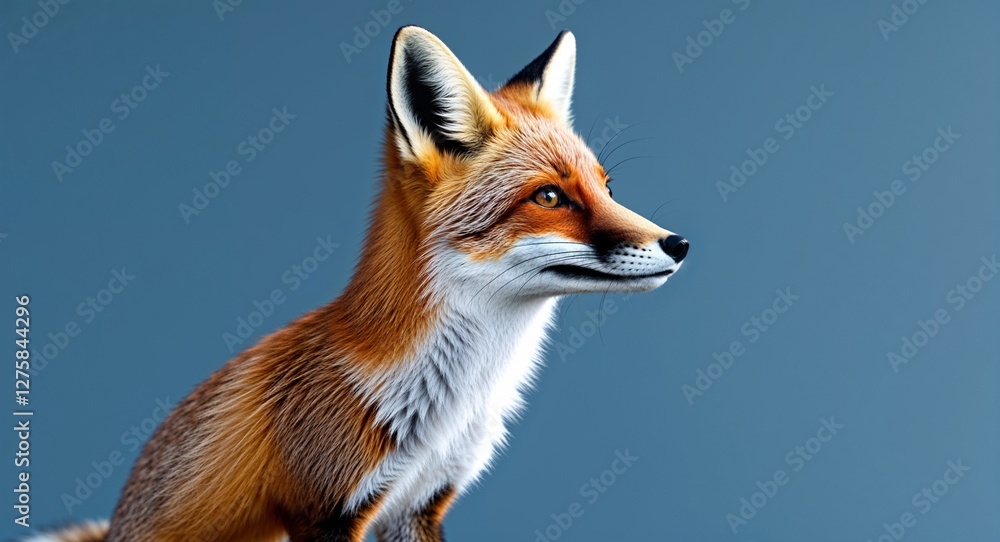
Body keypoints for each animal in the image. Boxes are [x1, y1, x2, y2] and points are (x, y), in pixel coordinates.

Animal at [32, 26, 688, 542]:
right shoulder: (326, 509)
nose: (678, 244)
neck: (451, 402)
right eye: (550, 197)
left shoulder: (420, 503)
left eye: (607, 187)